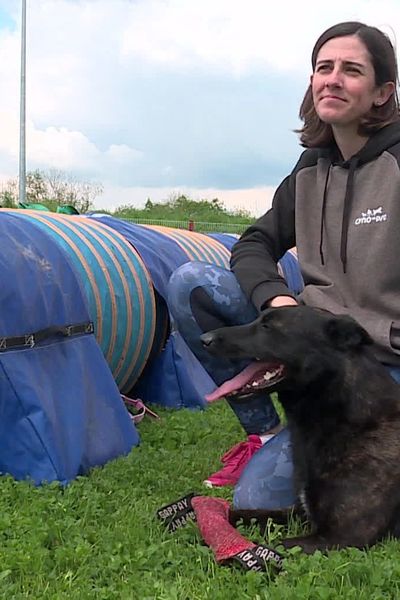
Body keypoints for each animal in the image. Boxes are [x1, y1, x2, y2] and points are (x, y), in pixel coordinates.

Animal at [200, 304, 400, 552]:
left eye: (267, 326)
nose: (203, 339)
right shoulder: (299, 512)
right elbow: (243, 514)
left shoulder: (341, 537)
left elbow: (269, 546)